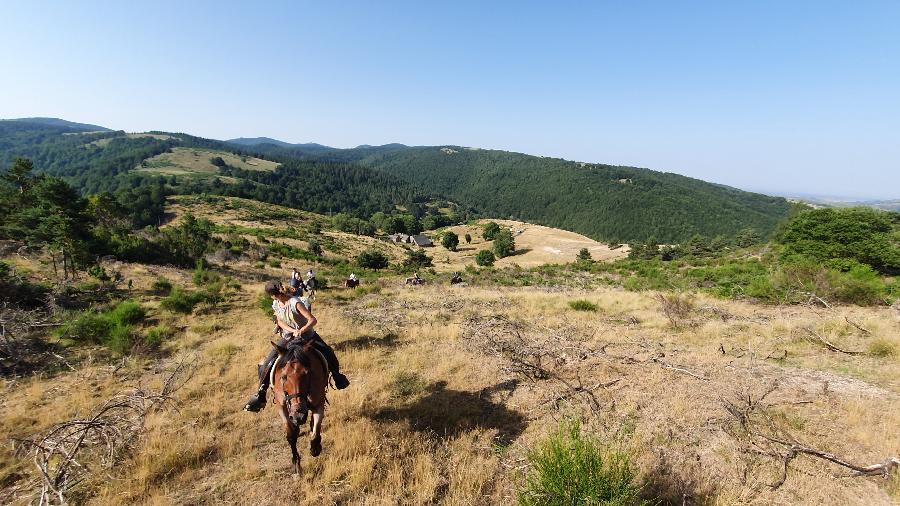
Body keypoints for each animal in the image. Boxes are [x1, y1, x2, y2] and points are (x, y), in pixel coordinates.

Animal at [268, 338, 328, 472]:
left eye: (308, 374)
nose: (298, 415)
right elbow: (291, 435)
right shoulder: (281, 406)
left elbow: (316, 429)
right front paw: (296, 463)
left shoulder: (319, 402)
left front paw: (315, 448)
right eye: (284, 377)